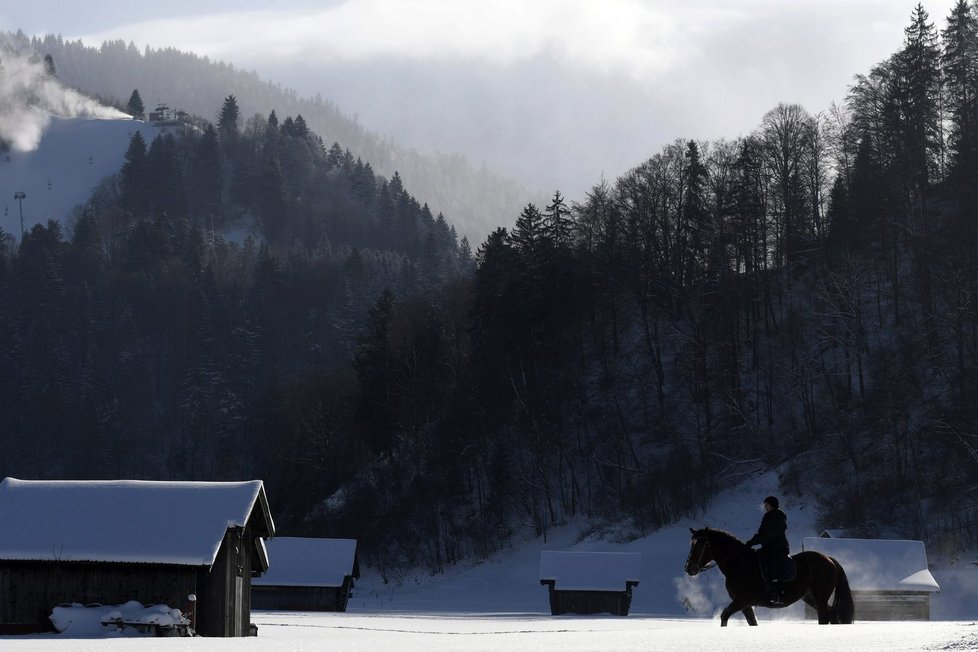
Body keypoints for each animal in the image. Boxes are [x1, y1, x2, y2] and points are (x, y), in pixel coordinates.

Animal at [684, 524, 852, 628]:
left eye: (700, 545)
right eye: (692, 544)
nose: (689, 568)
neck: (740, 564)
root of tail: (828, 559)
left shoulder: (742, 600)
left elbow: (724, 616)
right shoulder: (745, 605)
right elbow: (752, 622)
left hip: (820, 597)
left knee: (824, 616)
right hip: (810, 597)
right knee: (831, 615)